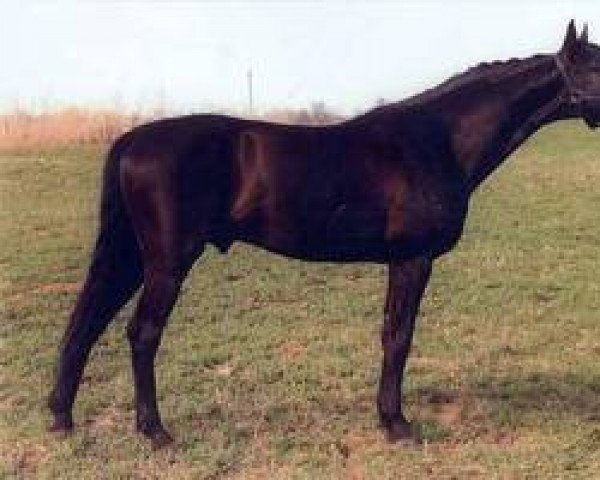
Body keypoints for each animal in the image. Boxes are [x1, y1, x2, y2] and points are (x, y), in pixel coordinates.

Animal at [49, 20, 600, 448]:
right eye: (595, 66)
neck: (437, 140)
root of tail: (132, 138)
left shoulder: (402, 261)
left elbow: (390, 334)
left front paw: (388, 418)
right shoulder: (413, 259)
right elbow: (399, 337)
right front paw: (397, 424)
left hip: (132, 256)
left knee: (88, 322)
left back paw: (62, 417)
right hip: (167, 262)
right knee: (141, 333)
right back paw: (156, 432)